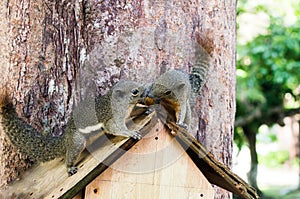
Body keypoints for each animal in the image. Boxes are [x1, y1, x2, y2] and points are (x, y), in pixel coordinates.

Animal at [0, 79, 147, 176]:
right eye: (135, 91)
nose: (146, 90)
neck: (122, 105)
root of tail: (66, 138)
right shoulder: (112, 119)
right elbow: (114, 129)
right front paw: (131, 133)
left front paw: (147, 110)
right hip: (77, 141)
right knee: (71, 155)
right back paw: (70, 168)